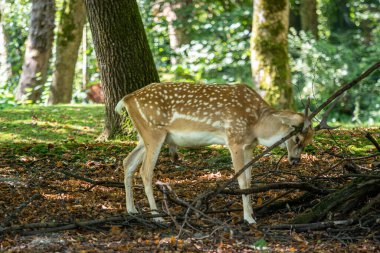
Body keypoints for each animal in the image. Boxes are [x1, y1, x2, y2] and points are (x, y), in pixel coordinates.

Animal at [115, 83, 314, 223]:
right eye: (297, 138)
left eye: (308, 141)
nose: (295, 160)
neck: (257, 125)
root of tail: (127, 98)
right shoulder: (234, 139)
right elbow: (241, 180)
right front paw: (248, 218)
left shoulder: (249, 146)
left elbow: (249, 180)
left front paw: (252, 215)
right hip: (153, 132)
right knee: (145, 171)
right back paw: (158, 217)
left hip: (145, 137)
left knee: (128, 161)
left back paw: (132, 210)